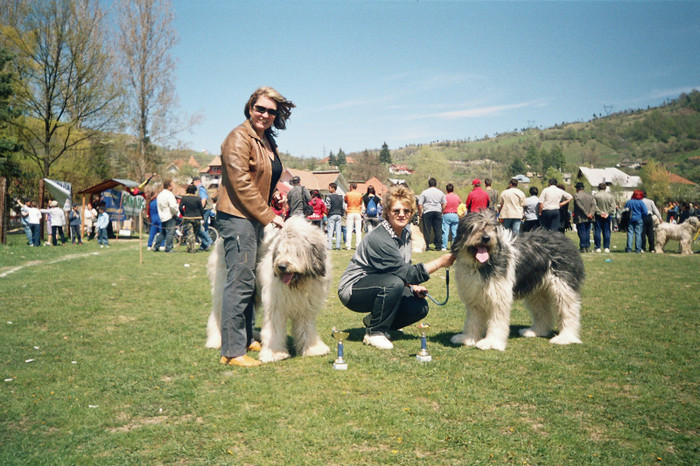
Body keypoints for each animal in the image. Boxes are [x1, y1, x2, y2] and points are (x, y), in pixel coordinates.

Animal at [205, 217, 330, 362]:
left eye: (296, 252)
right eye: (280, 251)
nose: (281, 266)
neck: (298, 283)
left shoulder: (306, 306)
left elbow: (306, 327)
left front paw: (312, 348)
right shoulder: (275, 304)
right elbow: (274, 329)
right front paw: (275, 353)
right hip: (223, 283)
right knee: (218, 313)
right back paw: (215, 340)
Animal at [452, 210, 584, 350]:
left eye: (492, 228)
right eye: (473, 227)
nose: (486, 238)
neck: (482, 264)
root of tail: (566, 240)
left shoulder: (499, 296)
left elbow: (497, 320)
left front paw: (491, 342)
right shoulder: (474, 297)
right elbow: (473, 320)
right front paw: (468, 338)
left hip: (563, 286)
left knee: (568, 310)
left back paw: (566, 337)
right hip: (537, 289)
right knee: (542, 311)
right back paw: (536, 331)